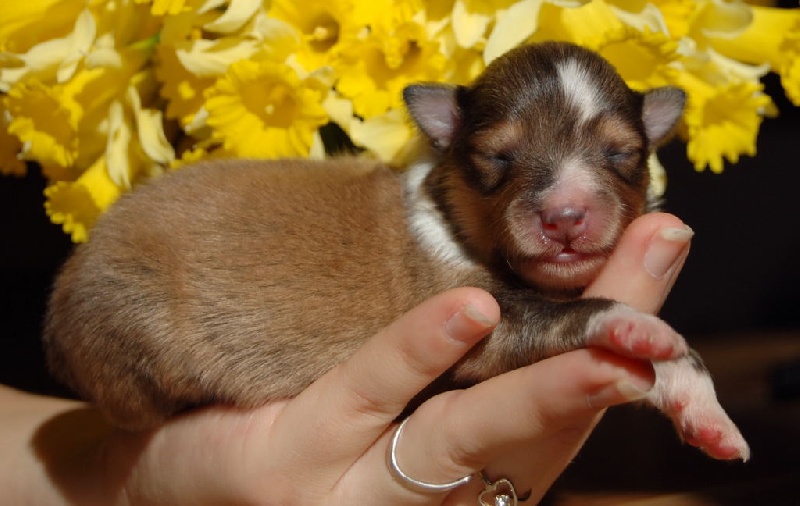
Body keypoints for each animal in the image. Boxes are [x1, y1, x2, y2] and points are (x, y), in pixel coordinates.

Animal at [42, 43, 752, 460]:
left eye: (621, 154)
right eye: (498, 157)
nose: (565, 216)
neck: (455, 223)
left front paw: (706, 415)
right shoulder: (484, 324)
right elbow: (588, 314)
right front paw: (643, 329)